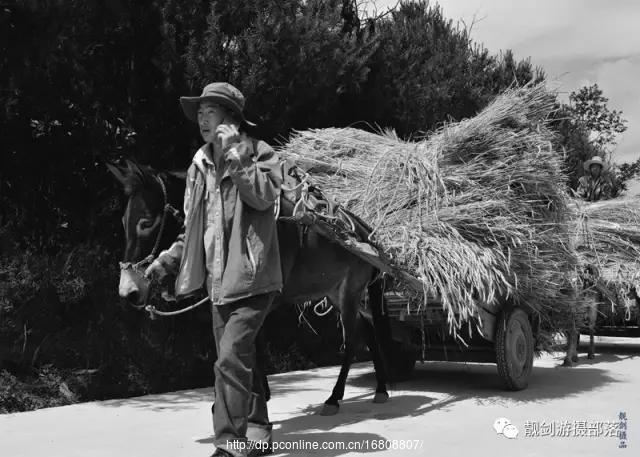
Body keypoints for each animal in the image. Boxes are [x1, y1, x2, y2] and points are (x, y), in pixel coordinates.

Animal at [107, 159, 392, 416]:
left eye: (145, 223)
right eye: (122, 222)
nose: (128, 291)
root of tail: (366, 233)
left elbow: (249, 346)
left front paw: (253, 398)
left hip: (350, 291)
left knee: (353, 338)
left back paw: (334, 398)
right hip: (334, 291)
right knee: (367, 327)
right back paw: (380, 389)